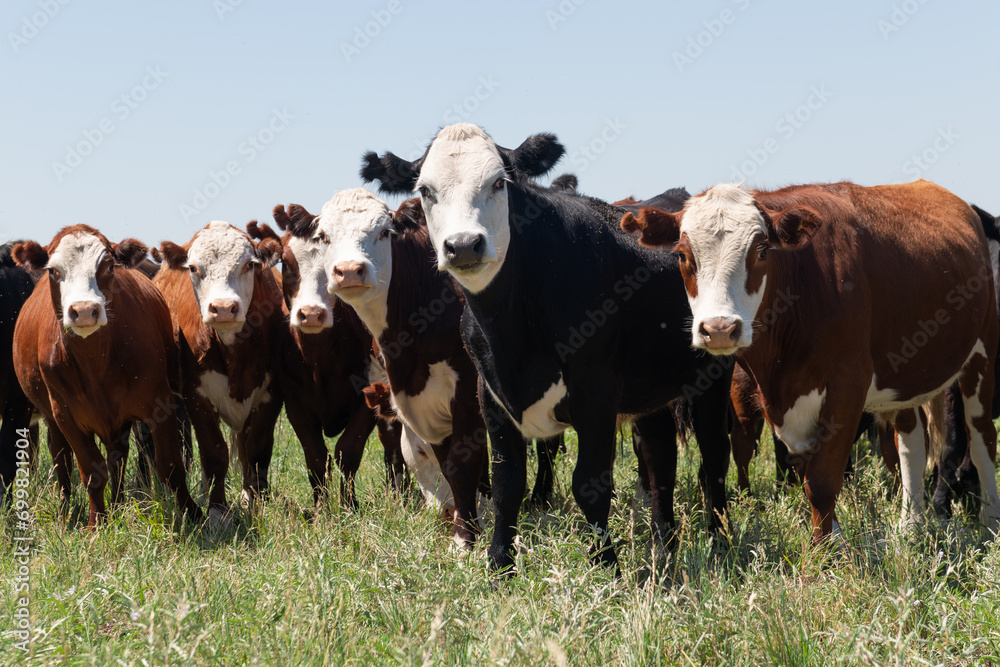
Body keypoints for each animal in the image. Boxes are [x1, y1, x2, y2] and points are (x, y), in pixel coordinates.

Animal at [11, 227, 202, 528]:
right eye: (53, 270)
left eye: (109, 266)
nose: (84, 311)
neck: (96, 362)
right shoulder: (65, 415)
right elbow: (91, 472)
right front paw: (95, 524)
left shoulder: (159, 403)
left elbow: (171, 465)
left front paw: (193, 515)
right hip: (54, 420)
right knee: (62, 460)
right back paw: (66, 511)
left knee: (118, 459)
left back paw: (117, 503)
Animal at [153, 222, 286, 524]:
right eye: (193, 268)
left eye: (249, 264)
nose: (224, 307)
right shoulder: (196, 396)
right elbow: (214, 452)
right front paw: (216, 511)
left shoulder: (272, 392)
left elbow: (257, 449)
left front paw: (256, 502)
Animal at [248, 214, 408, 506]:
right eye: (286, 263)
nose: (311, 314)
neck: (318, 360)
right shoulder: (296, 405)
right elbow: (316, 457)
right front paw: (322, 508)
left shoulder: (367, 400)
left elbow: (348, 451)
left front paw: (348, 506)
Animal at [362, 124, 736, 576]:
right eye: (426, 190)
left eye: (499, 183)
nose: (464, 245)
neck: (510, 330)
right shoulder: (489, 392)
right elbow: (507, 485)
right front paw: (498, 567)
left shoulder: (595, 389)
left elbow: (589, 483)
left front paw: (605, 567)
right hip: (652, 387)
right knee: (660, 455)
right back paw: (664, 545)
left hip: (713, 369)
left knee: (714, 456)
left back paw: (720, 543)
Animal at [624, 180, 1000, 540]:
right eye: (682, 255)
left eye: (762, 251)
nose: (719, 329)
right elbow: (809, 477)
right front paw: (834, 541)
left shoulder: (847, 387)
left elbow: (821, 482)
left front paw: (826, 554)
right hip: (907, 377)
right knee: (911, 444)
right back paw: (911, 524)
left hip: (981, 356)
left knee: (982, 440)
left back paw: (990, 524)